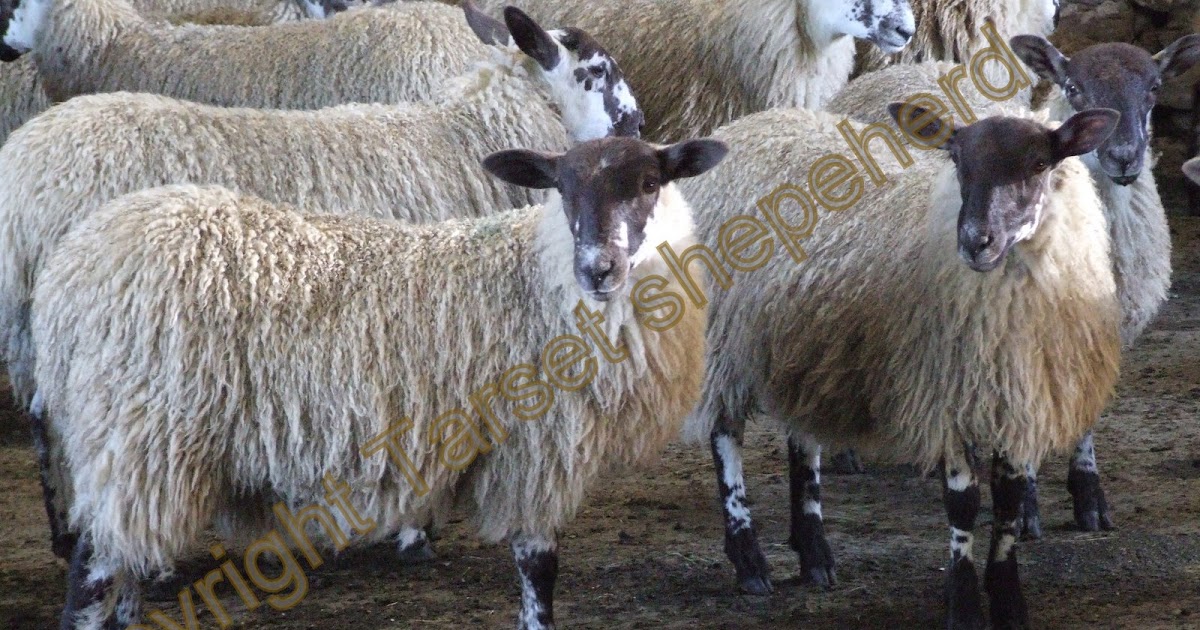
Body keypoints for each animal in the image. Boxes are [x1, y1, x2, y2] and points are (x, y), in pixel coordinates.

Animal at [1, 4, 644, 561]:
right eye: (596, 70)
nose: (637, 125)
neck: (462, 135)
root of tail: (23, 166)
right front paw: (413, 529)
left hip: (47, 330)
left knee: (44, 418)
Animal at [32, 133, 728, 630]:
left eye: (649, 182)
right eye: (561, 186)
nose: (598, 268)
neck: (536, 283)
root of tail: (70, 268)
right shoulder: (536, 452)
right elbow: (539, 573)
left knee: (125, 573)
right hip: (140, 439)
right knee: (91, 581)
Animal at [675, 103, 1121, 628]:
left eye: (1038, 163)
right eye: (957, 160)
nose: (976, 241)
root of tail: (749, 124)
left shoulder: (1014, 398)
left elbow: (1009, 505)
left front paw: (1009, 603)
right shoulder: (946, 394)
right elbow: (964, 505)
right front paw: (964, 605)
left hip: (801, 345)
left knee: (803, 441)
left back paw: (814, 553)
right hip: (725, 337)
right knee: (726, 435)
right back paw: (749, 561)